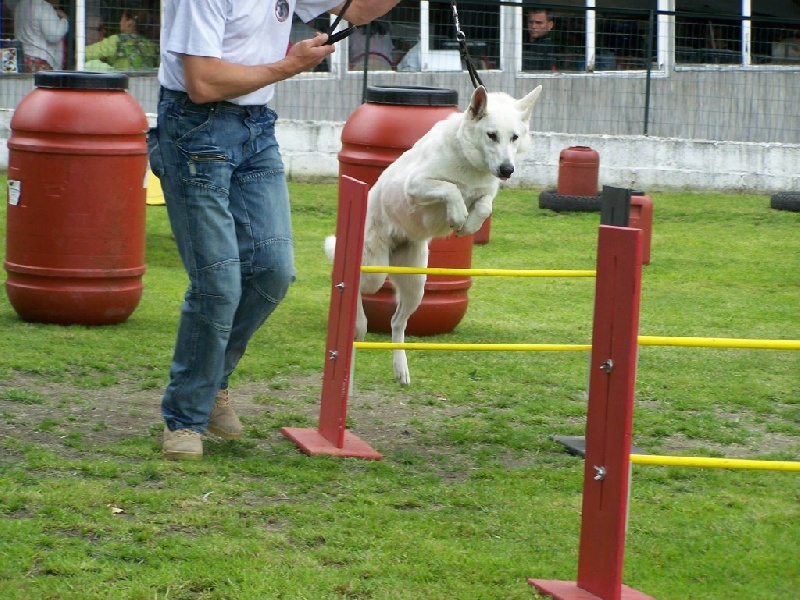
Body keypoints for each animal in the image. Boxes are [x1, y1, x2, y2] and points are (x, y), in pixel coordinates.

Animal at [324, 83, 544, 384]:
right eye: (492, 136)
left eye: (514, 137)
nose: (507, 170)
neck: (470, 164)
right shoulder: (416, 185)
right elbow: (450, 189)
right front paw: (458, 215)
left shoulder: (486, 192)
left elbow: (484, 205)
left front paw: (469, 225)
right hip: (374, 270)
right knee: (354, 287)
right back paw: (356, 325)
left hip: (416, 284)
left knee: (396, 322)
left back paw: (401, 369)